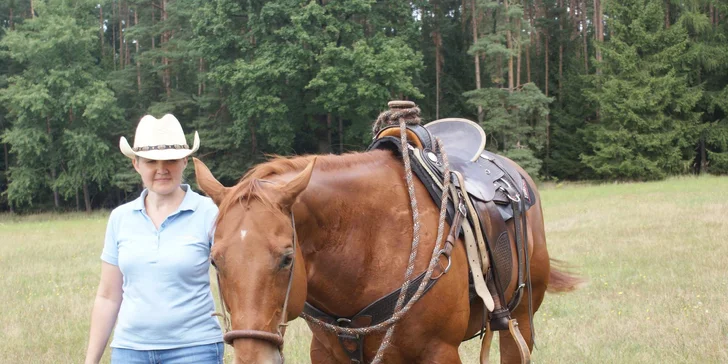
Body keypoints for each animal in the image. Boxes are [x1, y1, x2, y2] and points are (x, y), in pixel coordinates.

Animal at [193, 149, 580, 362]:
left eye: (287, 258)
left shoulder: (440, 352)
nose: (252, 357)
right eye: (214, 261)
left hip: (521, 317)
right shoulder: (327, 354)